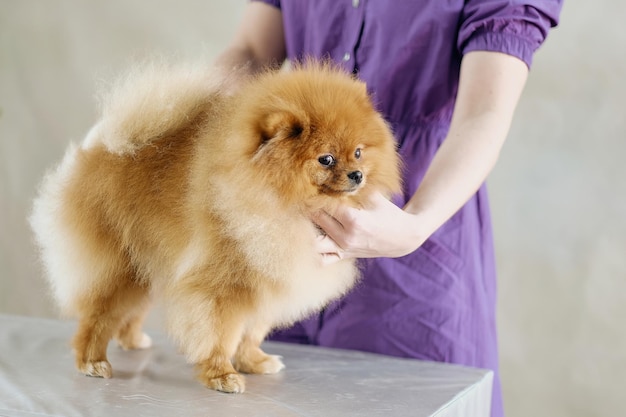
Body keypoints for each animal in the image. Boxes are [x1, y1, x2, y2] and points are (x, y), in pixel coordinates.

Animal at [29, 60, 400, 392]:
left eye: (358, 152)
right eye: (326, 159)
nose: (357, 175)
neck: (277, 200)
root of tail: (100, 146)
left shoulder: (271, 278)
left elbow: (253, 330)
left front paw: (254, 361)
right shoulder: (223, 284)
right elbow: (221, 333)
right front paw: (222, 375)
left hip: (145, 265)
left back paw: (133, 341)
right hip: (118, 267)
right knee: (98, 315)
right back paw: (92, 361)